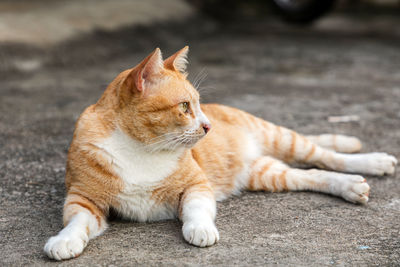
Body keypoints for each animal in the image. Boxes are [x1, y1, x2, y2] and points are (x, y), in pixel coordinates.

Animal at [44, 47, 396, 260]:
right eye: (185, 107)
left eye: (197, 104)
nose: (208, 126)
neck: (142, 148)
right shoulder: (84, 199)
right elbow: (76, 223)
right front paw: (64, 241)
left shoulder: (198, 186)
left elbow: (196, 210)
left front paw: (200, 229)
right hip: (267, 173)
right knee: (311, 174)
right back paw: (350, 186)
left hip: (280, 137)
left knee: (324, 154)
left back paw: (369, 159)